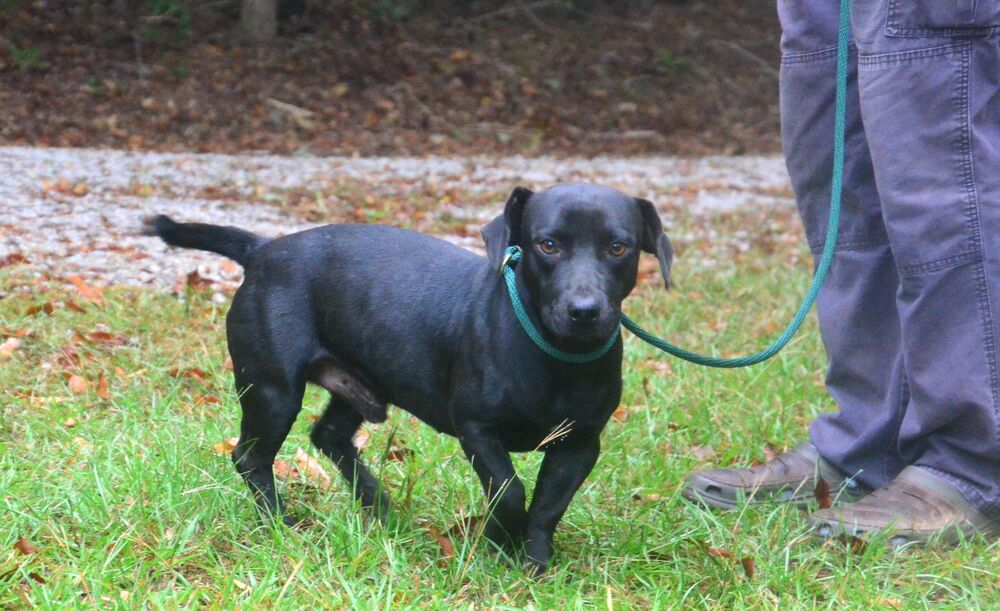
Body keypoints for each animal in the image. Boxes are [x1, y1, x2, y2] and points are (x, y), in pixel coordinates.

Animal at [145, 183, 676, 572]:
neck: (556, 356)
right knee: (251, 457)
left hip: (362, 384)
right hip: (272, 391)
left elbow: (548, 505)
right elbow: (509, 492)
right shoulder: (477, 430)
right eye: (547, 245)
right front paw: (498, 543)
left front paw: (534, 561)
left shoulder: (580, 444)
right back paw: (282, 524)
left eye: (618, 247)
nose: (584, 310)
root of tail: (264, 249)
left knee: (329, 436)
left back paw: (381, 508)